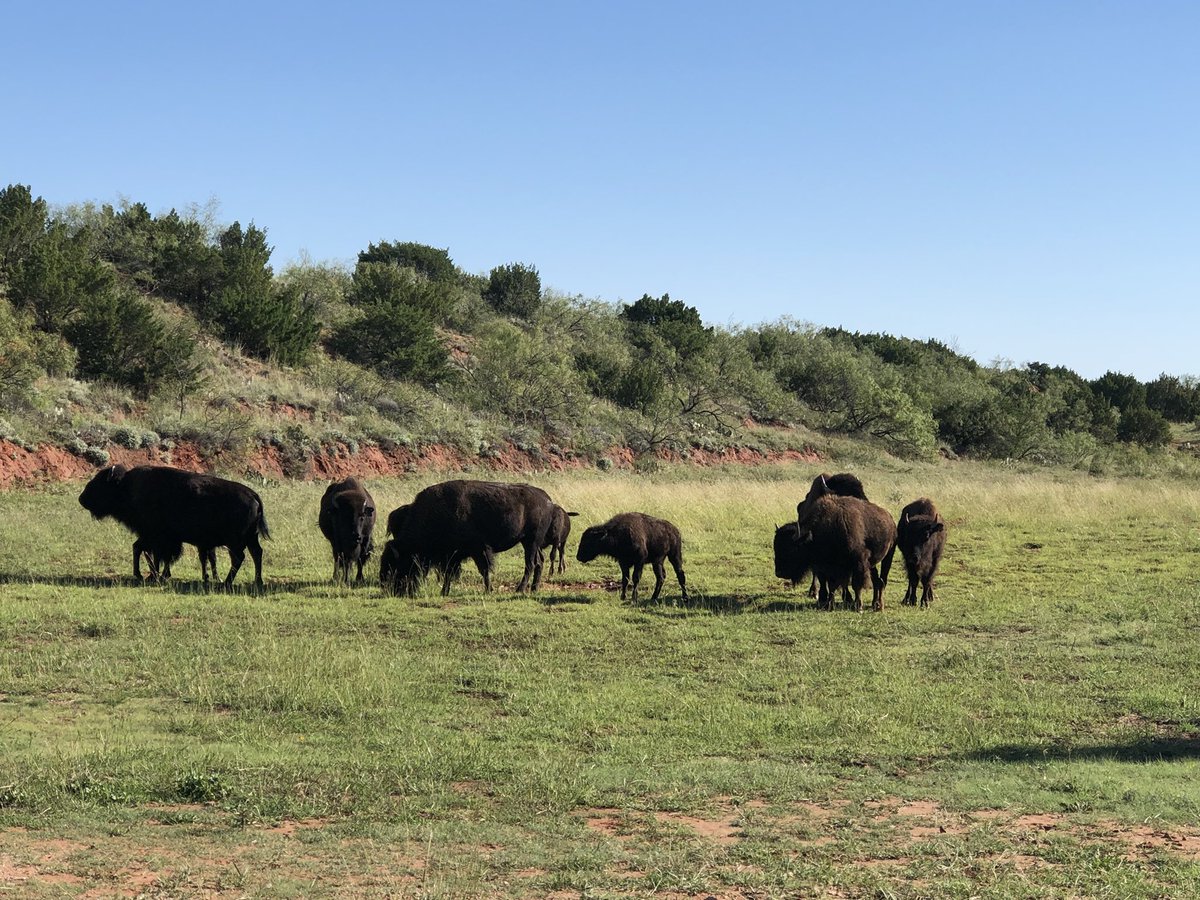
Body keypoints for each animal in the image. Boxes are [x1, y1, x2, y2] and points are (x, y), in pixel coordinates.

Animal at [79, 465, 269, 590]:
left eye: (100, 482)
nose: (82, 498)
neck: (126, 486)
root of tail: (253, 494)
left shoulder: (156, 536)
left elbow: (153, 553)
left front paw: (151, 576)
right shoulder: (158, 538)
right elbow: (150, 553)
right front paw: (155, 576)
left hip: (235, 541)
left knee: (239, 557)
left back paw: (228, 583)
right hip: (251, 538)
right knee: (256, 554)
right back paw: (257, 581)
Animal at [381, 479, 556, 596]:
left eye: (397, 563)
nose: (394, 591)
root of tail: (547, 499)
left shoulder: (477, 550)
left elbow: (483, 570)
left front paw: (488, 590)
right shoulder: (454, 555)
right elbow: (451, 573)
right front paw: (445, 591)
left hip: (530, 542)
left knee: (530, 564)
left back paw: (520, 589)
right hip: (530, 543)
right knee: (539, 562)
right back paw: (534, 588)